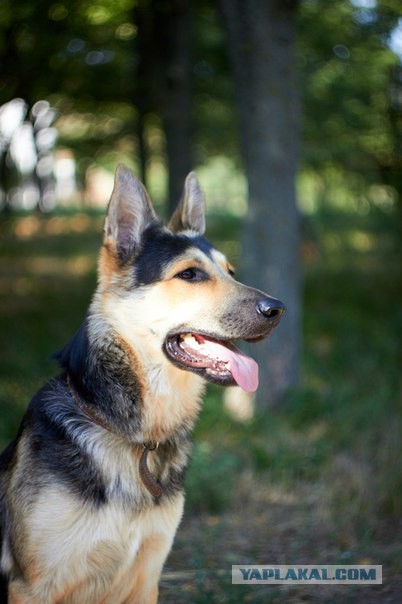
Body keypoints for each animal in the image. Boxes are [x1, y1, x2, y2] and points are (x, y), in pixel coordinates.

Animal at [0, 163, 286, 600]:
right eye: (190, 274)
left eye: (230, 273)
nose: (278, 309)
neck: (134, 438)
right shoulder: (32, 586)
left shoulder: (146, 577)